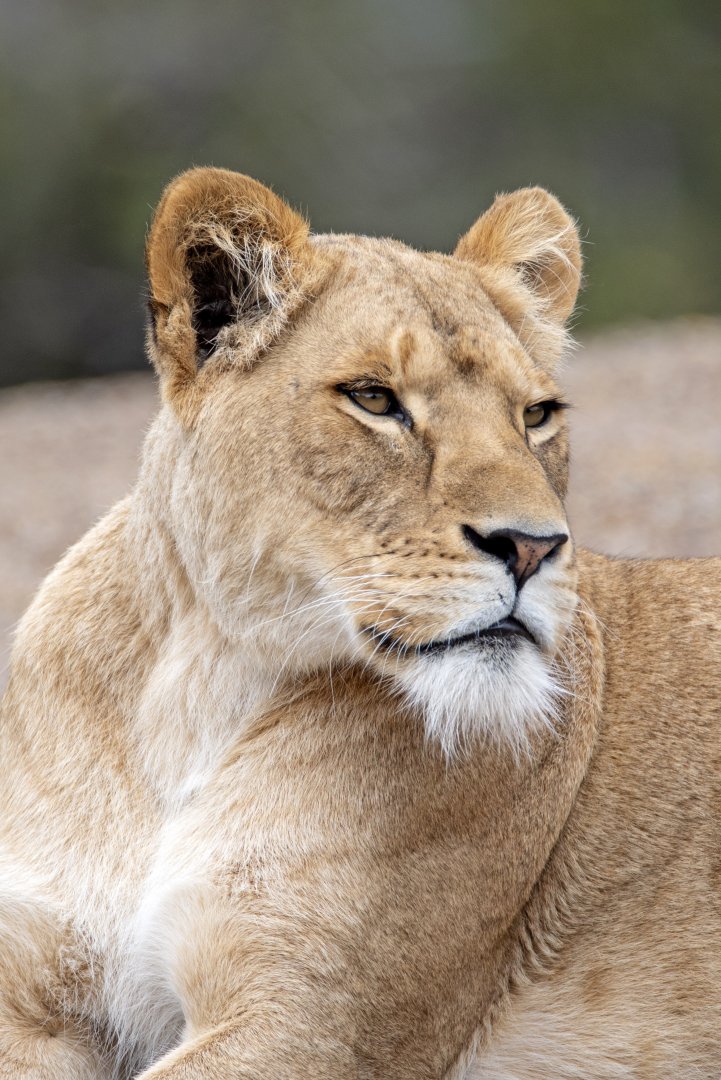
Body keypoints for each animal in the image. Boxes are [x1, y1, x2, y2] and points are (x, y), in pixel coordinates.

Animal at [1, 166, 720, 1079]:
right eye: (375, 399)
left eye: (535, 416)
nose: (532, 546)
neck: (195, 687)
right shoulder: (36, 995)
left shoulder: (309, 1023)